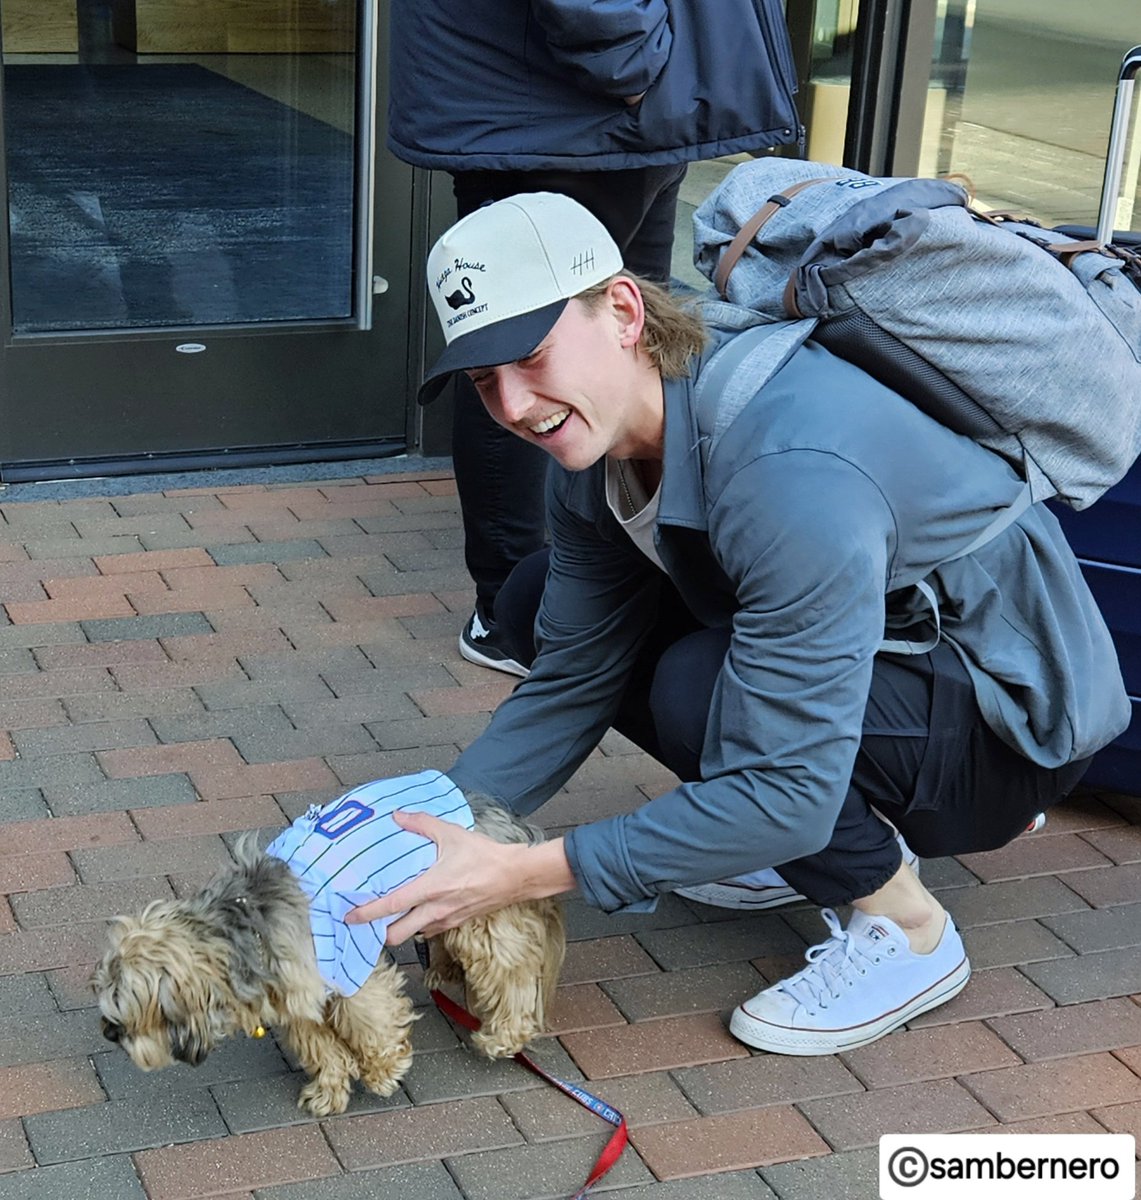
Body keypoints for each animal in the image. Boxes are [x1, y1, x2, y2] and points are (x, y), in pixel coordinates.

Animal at [91, 782, 563, 1118]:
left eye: (128, 1006)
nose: (109, 1032)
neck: (244, 925)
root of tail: (502, 817)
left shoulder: (351, 969)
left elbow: (370, 1021)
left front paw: (382, 1070)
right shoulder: (299, 998)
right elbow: (319, 1047)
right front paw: (330, 1089)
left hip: (478, 915)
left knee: (514, 972)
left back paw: (501, 1034)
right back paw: (444, 972)